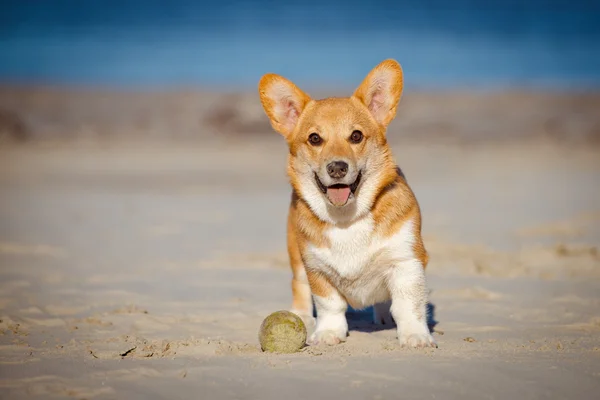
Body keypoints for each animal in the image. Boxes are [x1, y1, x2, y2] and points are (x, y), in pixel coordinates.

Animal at [258, 58, 436, 346]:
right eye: (315, 138)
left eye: (356, 136)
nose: (337, 168)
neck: (346, 219)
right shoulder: (317, 269)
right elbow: (329, 304)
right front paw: (329, 333)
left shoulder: (406, 261)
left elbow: (408, 305)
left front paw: (415, 336)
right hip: (295, 254)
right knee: (299, 284)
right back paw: (302, 316)